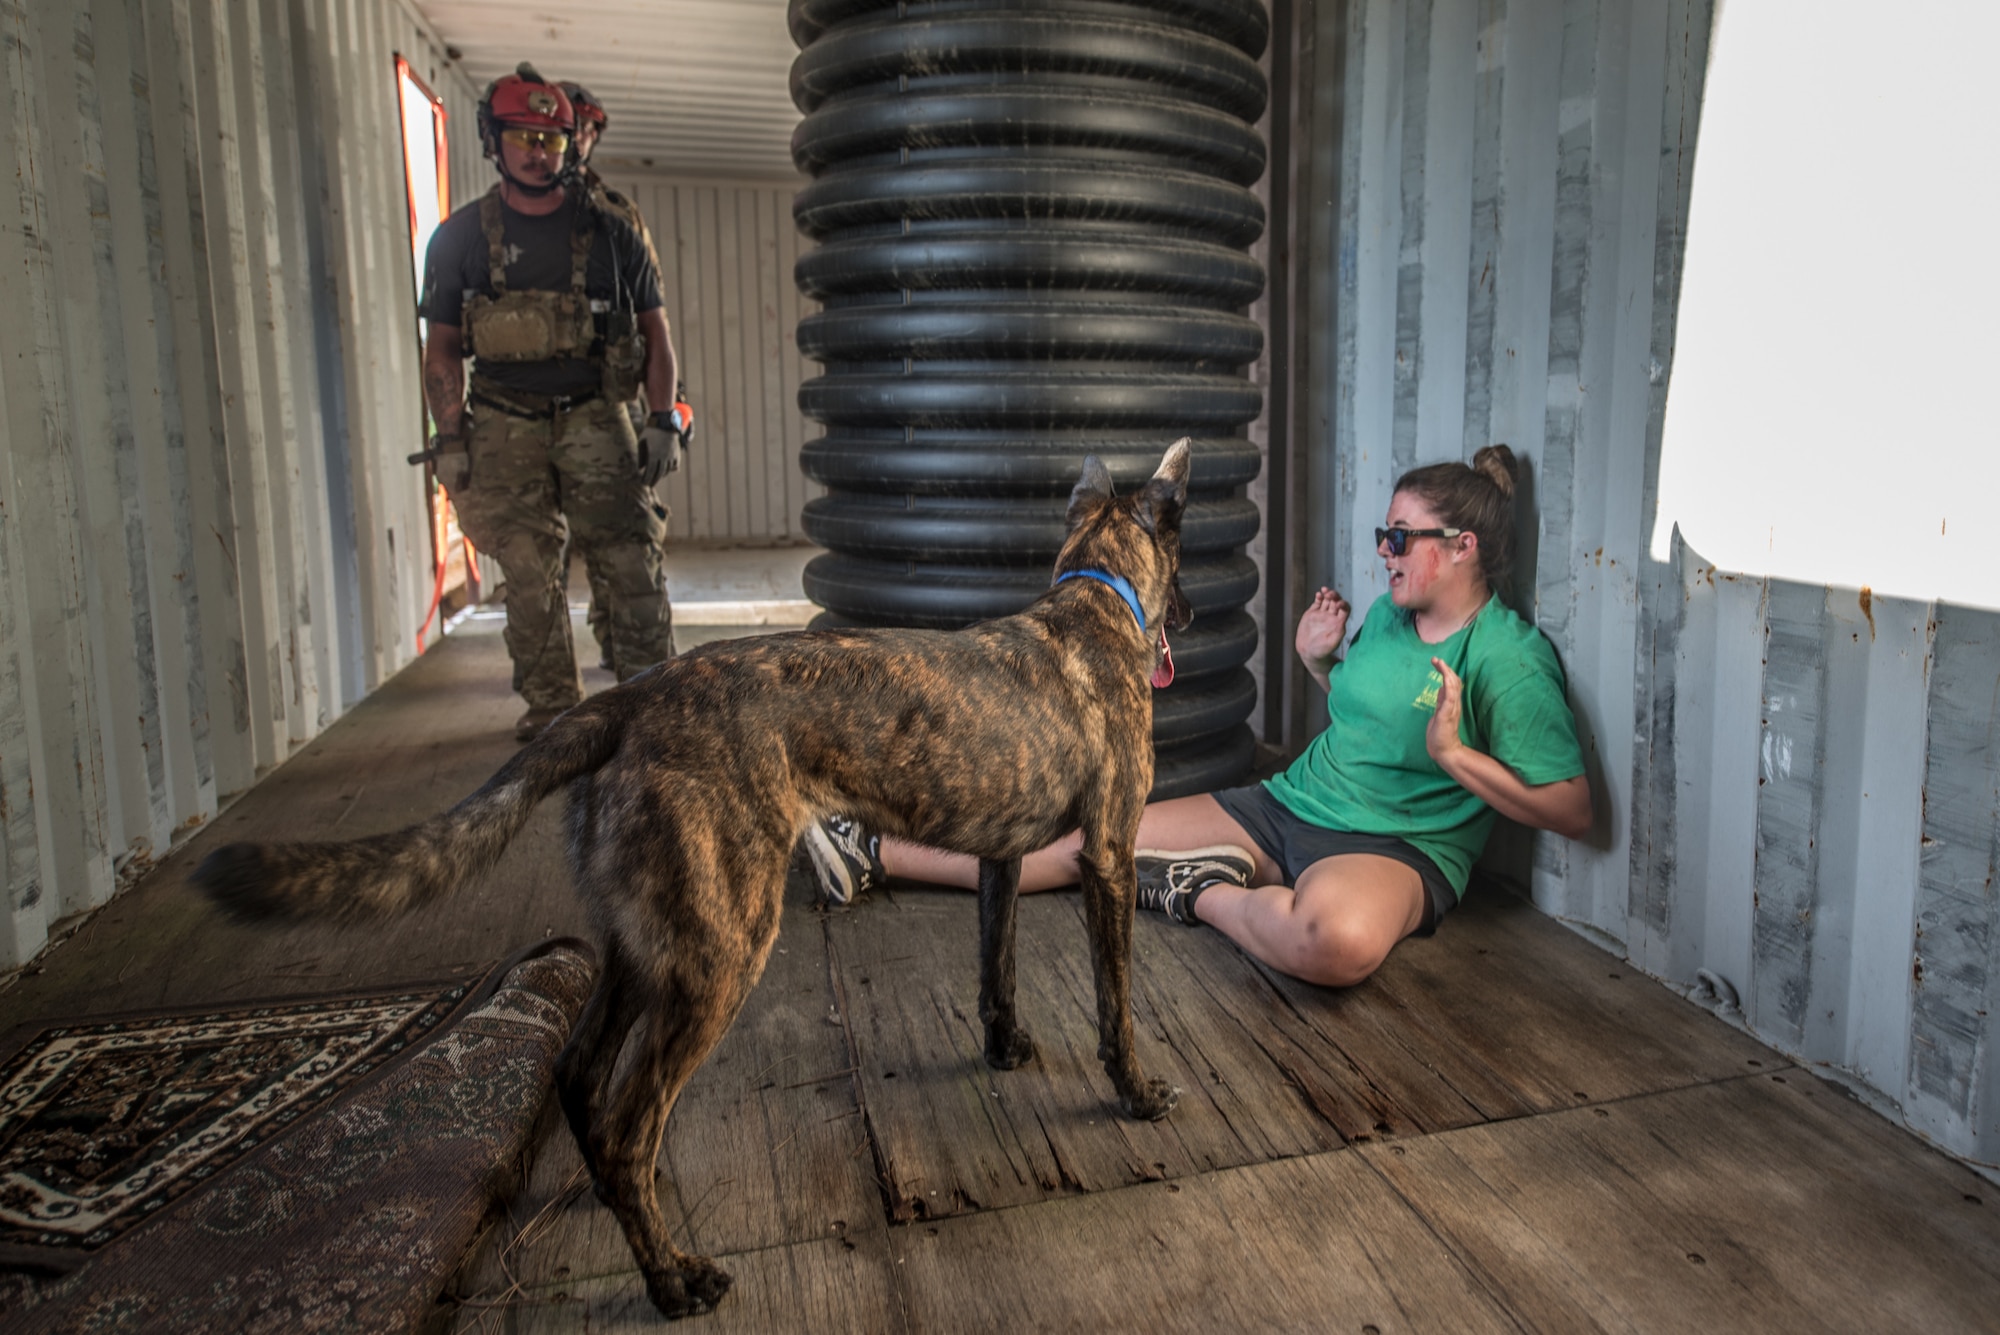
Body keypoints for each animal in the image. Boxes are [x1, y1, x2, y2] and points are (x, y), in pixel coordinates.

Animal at [201, 443, 1192, 1319]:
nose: (1184, 610)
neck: (1090, 595)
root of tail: (627, 700)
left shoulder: (1000, 859)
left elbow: (998, 966)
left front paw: (1005, 1046)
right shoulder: (1109, 853)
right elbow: (1116, 1001)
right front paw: (1136, 1092)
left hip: (649, 944)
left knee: (584, 1080)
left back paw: (633, 1207)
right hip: (720, 953)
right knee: (627, 1120)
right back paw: (672, 1280)